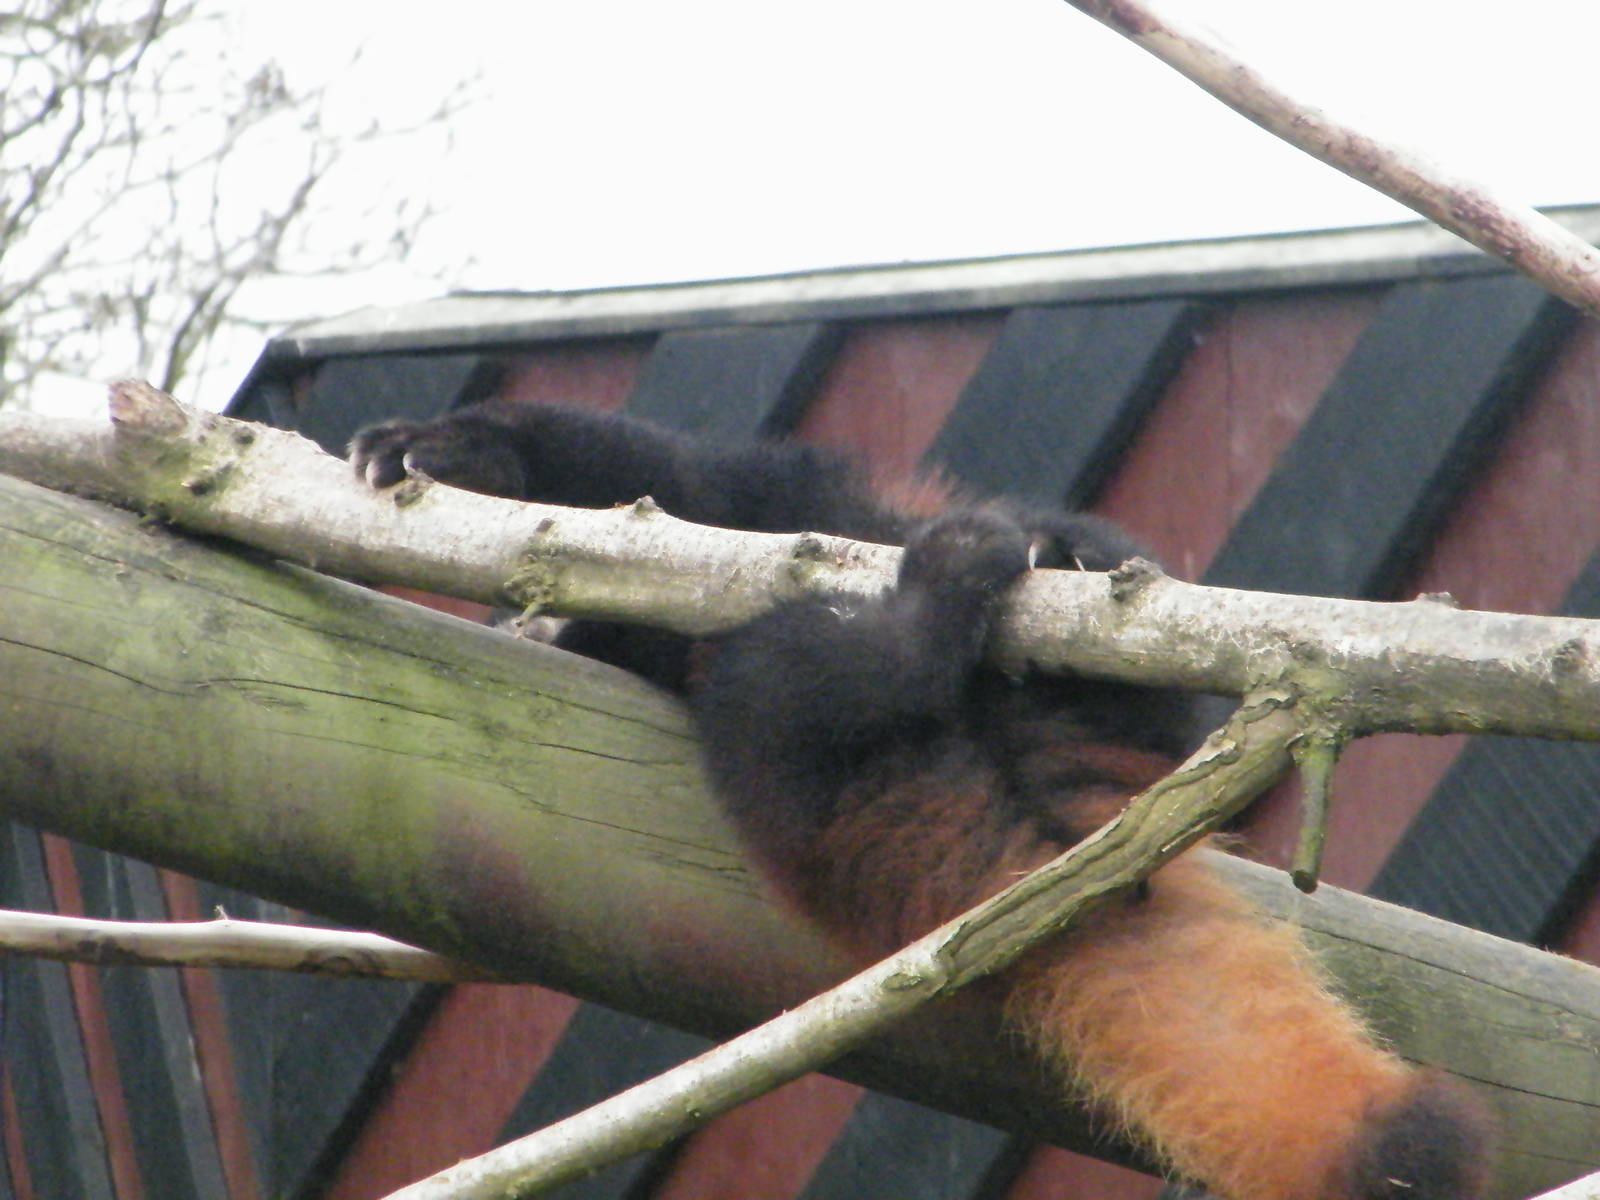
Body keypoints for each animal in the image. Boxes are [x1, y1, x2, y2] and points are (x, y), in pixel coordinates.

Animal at [350, 399, 1492, 1200]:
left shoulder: (736, 495)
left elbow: (626, 469)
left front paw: (442, 448)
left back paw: (1055, 561)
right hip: (807, 778)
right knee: (787, 687)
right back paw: (923, 618)